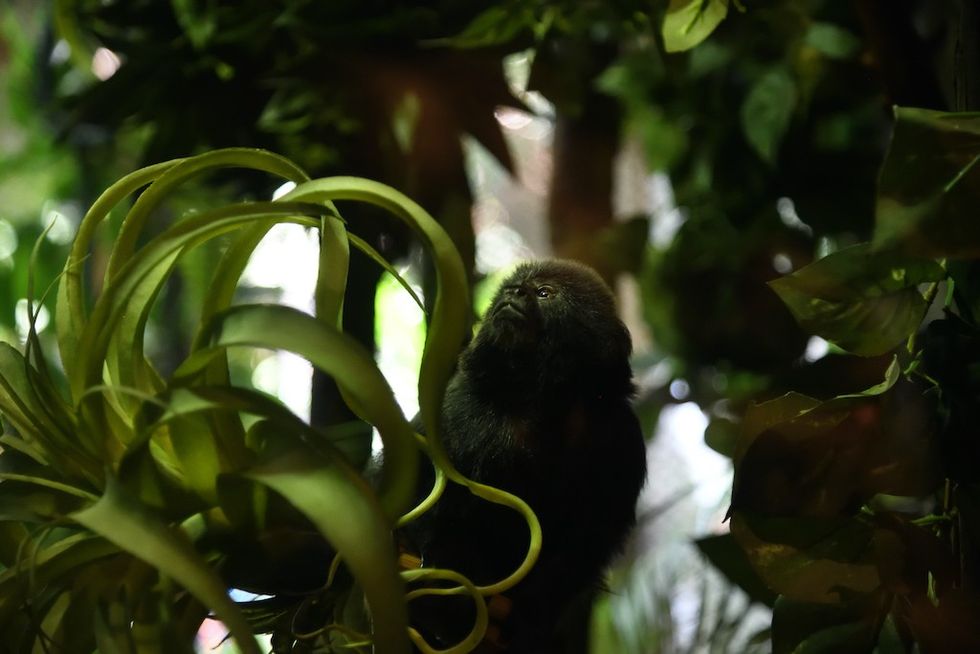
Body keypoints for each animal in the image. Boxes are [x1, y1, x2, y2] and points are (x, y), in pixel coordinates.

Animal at [406, 259, 648, 653]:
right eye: (512, 288)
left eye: (544, 293)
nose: (513, 293)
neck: (541, 402)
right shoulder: (457, 406)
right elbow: (434, 491)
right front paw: (447, 571)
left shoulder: (622, 438)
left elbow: (592, 534)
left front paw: (533, 613)